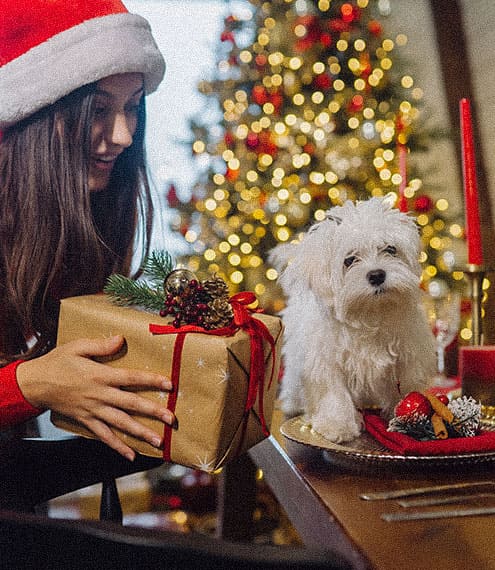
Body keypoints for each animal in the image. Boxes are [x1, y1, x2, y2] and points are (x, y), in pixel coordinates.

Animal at [272, 195, 438, 444]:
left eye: (390, 249)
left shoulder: (408, 356)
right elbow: (334, 393)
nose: (377, 275)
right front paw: (337, 426)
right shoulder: (326, 360)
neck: (369, 313)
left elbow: (406, 386)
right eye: (349, 260)